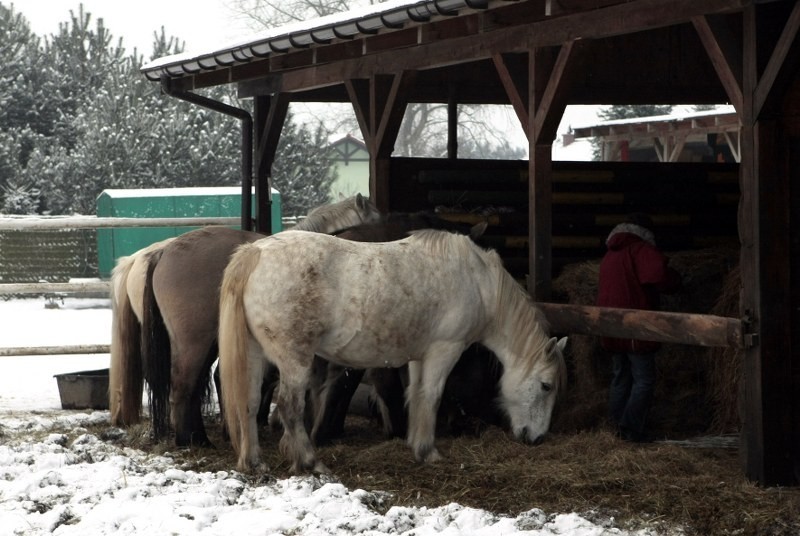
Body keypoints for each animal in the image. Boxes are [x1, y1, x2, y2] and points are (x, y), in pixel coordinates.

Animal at [219, 228, 568, 472]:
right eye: (546, 386)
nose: (537, 438)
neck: (480, 283)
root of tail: (255, 252)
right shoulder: (445, 350)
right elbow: (432, 396)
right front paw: (428, 452)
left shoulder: (419, 356)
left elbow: (415, 394)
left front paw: (416, 444)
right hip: (294, 361)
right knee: (289, 407)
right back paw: (311, 462)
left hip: (255, 356)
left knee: (249, 403)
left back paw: (254, 462)